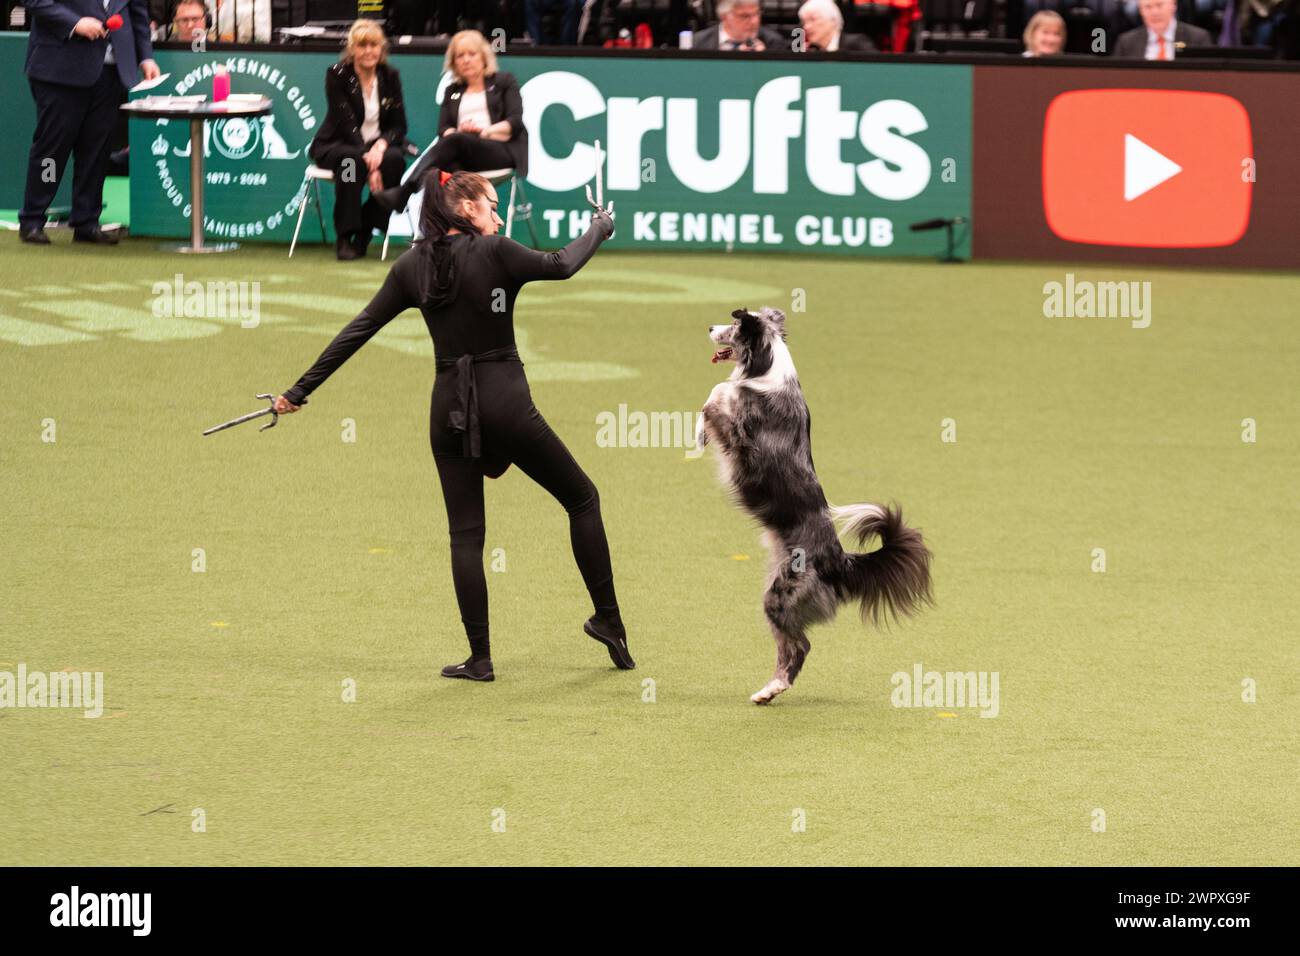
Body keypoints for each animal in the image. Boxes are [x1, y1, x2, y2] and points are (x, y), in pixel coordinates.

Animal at [702, 310, 935, 707]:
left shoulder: (739, 431)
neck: (767, 368)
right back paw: (769, 691)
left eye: (731, 326)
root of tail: (839, 561)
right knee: (792, 646)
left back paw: (770, 690)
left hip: (779, 597)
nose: (709, 328)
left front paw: (703, 423)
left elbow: (720, 391)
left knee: (800, 647)